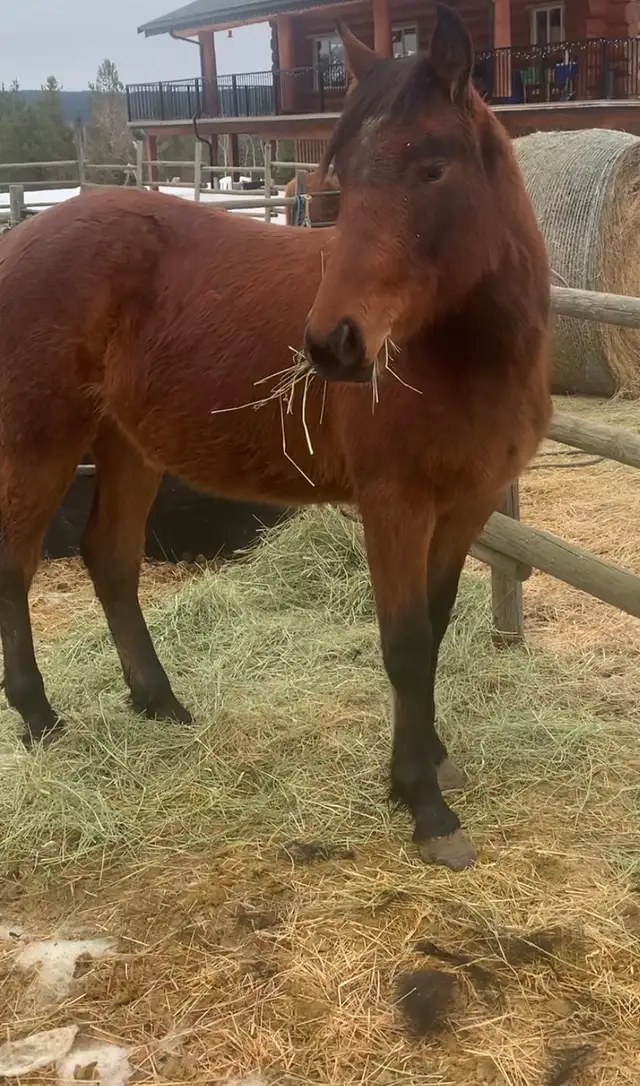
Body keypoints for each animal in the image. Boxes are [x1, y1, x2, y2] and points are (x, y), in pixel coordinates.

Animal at [0, 5, 551, 871]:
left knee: (111, 559)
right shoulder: (394, 506)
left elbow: (434, 627)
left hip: (126, 446)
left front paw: (431, 762)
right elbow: (404, 643)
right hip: (42, 439)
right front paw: (422, 804)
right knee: (15, 566)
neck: (463, 354)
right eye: (342, 177)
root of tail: (22, 239)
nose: (332, 344)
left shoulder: (466, 506)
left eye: (433, 169)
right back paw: (40, 717)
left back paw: (159, 700)